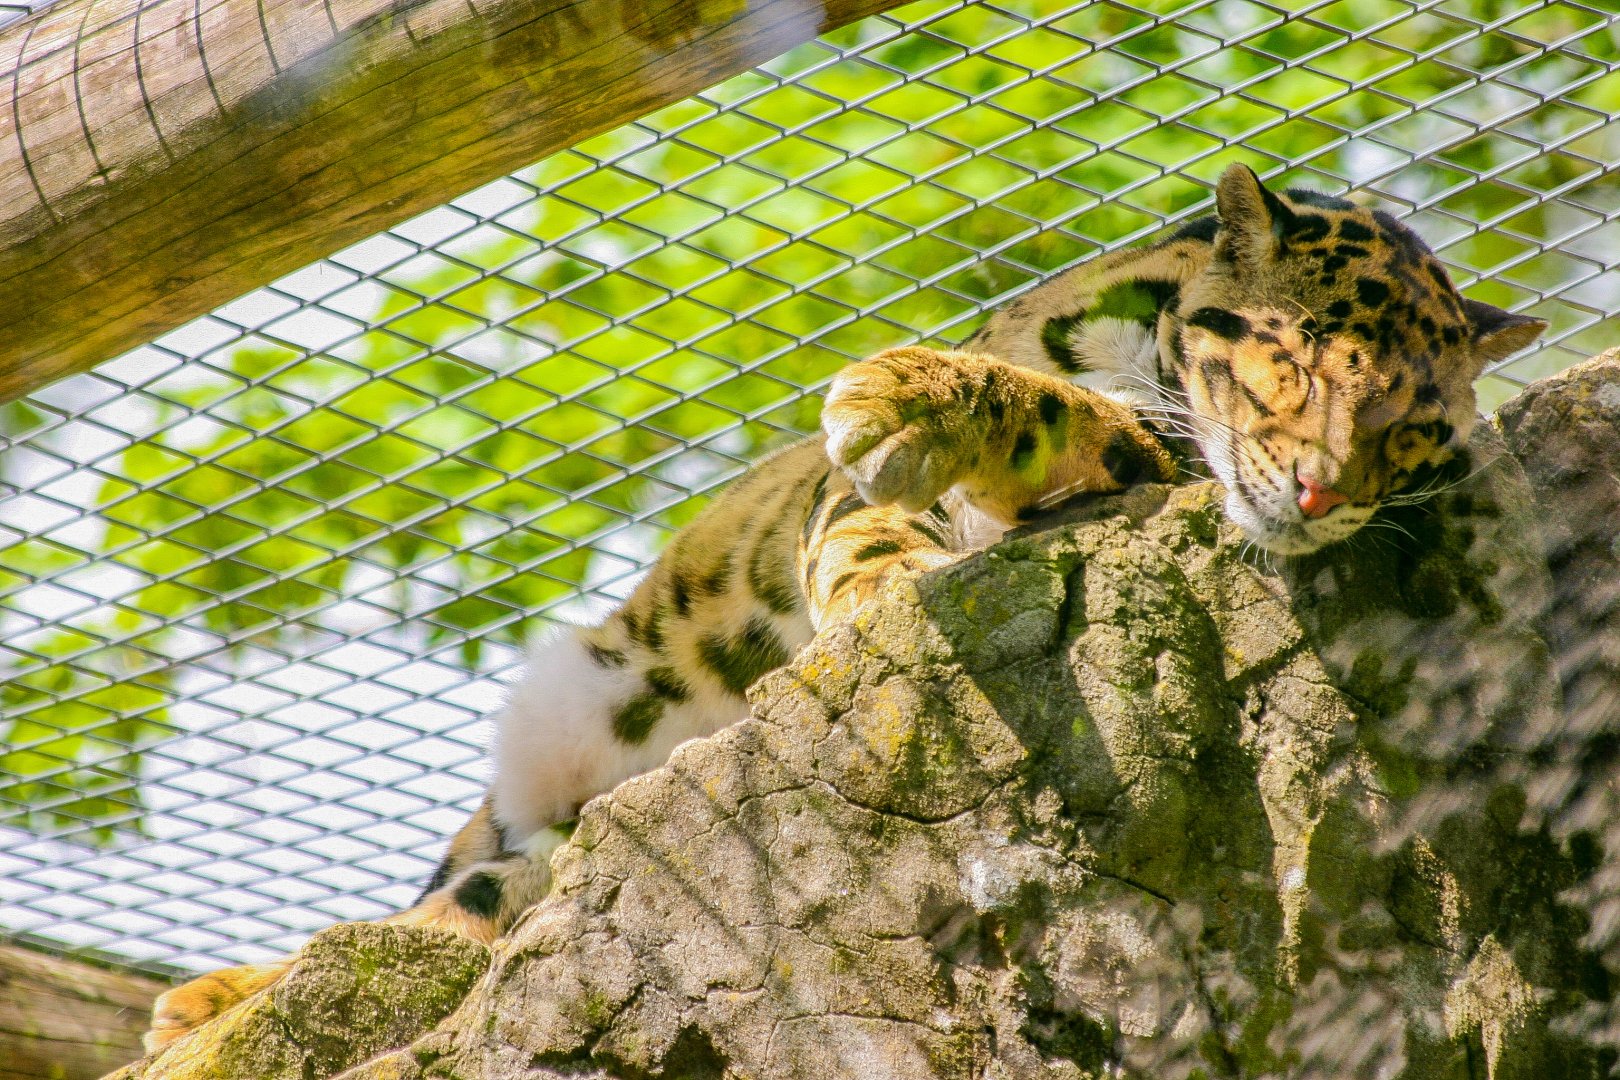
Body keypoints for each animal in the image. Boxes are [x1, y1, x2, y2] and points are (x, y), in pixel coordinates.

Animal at [142, 164, 1544, 1052]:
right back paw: (214, 1000)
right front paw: (890, 476)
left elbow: (1080, 420)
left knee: (479, 903)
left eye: (1415, 429)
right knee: (437, 900)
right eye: (1296, 359)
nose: (1320, 496)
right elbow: (921, 475)